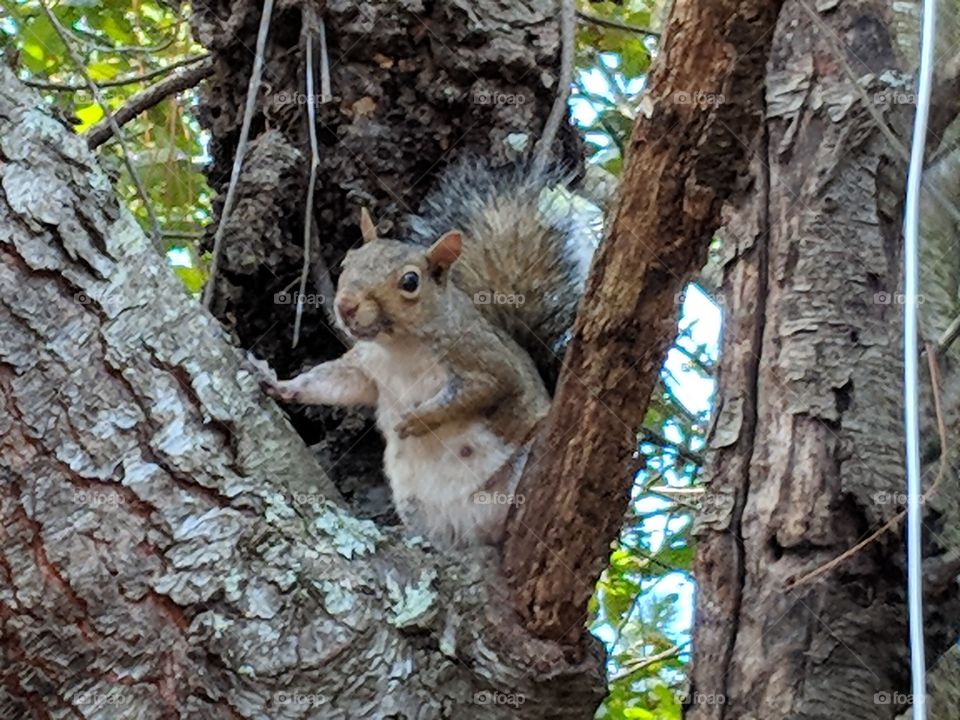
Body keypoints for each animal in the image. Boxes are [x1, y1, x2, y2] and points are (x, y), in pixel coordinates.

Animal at [260, 160, 595, 547]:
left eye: (410, 282)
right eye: (347, 262)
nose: (345, 306)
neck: (398, 347)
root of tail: (472, 527)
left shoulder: (483, 361)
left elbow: (480, 390)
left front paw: (417, 420)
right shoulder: (366, 369)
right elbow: (330, 383)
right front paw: (280, 386)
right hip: (416, 505)